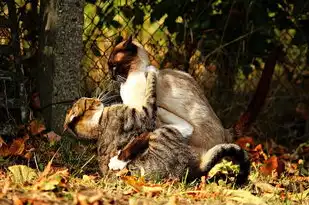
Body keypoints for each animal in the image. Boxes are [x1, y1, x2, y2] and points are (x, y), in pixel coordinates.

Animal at [63, 70, 249, 186]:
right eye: (89, 101)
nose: (97, 99)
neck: (99, 125)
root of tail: (194, 169)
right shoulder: (144, 115)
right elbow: (150, 94)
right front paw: (150, 73)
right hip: (164, 133)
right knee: (183, 126)